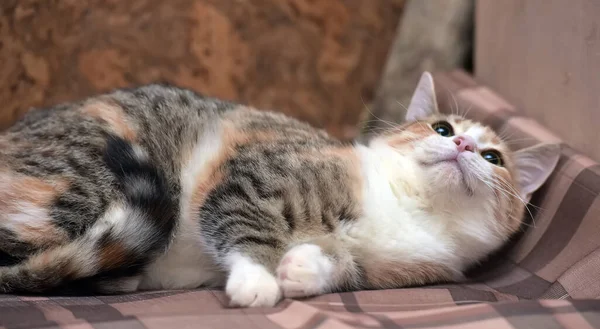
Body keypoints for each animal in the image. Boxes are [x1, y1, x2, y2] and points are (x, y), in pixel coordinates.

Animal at [0, 72, 556, 308]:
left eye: (494, 158)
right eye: (441, 127)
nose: (463, 143)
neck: (411, 207)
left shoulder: (390, 269)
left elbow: (345, 270)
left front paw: (305, 269)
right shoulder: (253, 175)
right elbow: (246, 227)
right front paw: (260, 279)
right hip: (87, 179)